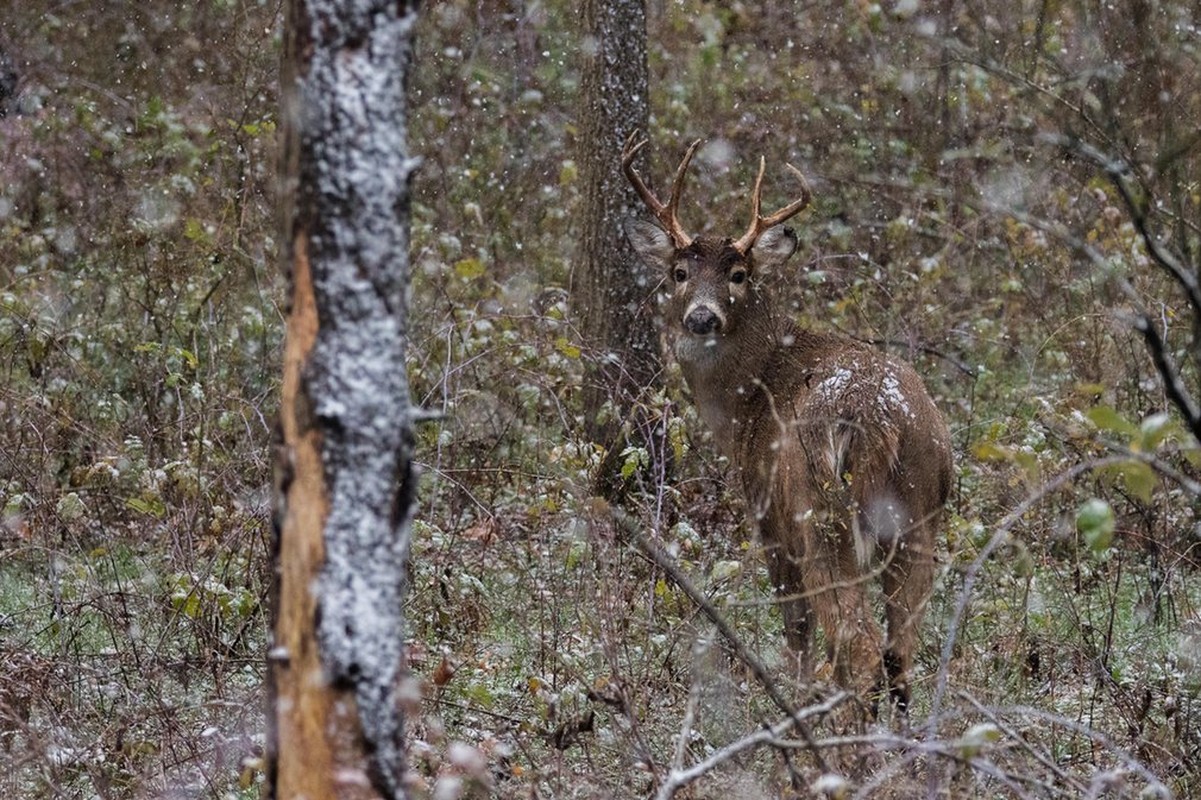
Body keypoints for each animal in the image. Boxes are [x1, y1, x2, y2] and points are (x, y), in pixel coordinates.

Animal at [624, 135, 951, 711]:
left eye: (738, 275)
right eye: (679, 273)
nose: (702, 317)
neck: (749, 399)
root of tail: (878, 417)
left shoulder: (768, 520)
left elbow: (796, 630)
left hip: (819, 513)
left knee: (858, 646)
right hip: (920, 512)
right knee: (900, 656)